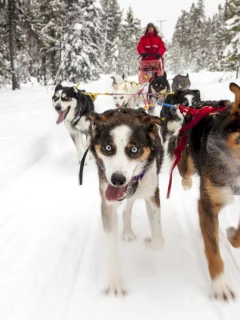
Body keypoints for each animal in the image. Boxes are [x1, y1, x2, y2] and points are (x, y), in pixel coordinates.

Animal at [88, 107, 165, 296]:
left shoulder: (152, 194)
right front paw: (114, 282)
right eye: (108, 147)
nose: (117, 179)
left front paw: (150, 245)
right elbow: (111, 248)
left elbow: (158, 241)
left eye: (134, 150)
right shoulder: (107, 204)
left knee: (129, 205)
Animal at [171, 82, 240, 300]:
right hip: (186, 158)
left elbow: (237, 236)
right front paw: (220, 284)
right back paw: (186, 183)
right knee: (185, 171)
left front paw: (231, 234)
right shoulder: (208, 204)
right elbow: (213, 250)